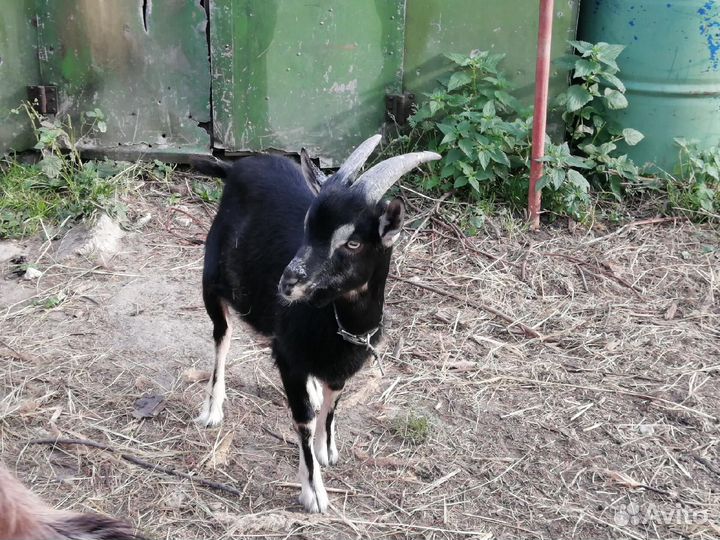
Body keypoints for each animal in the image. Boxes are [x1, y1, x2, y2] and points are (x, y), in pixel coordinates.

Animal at [191, 135, 439, 513]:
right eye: (308, 227)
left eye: (353, 242)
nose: (288, 283)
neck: (337, 322)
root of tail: (236, 167)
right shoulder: (288, 356)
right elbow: (303, 419)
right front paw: (315, 493)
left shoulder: (343, 362)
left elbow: (333, 401)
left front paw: (327, 447)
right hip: (212, 281)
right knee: (222, 336)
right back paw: (212, 409)